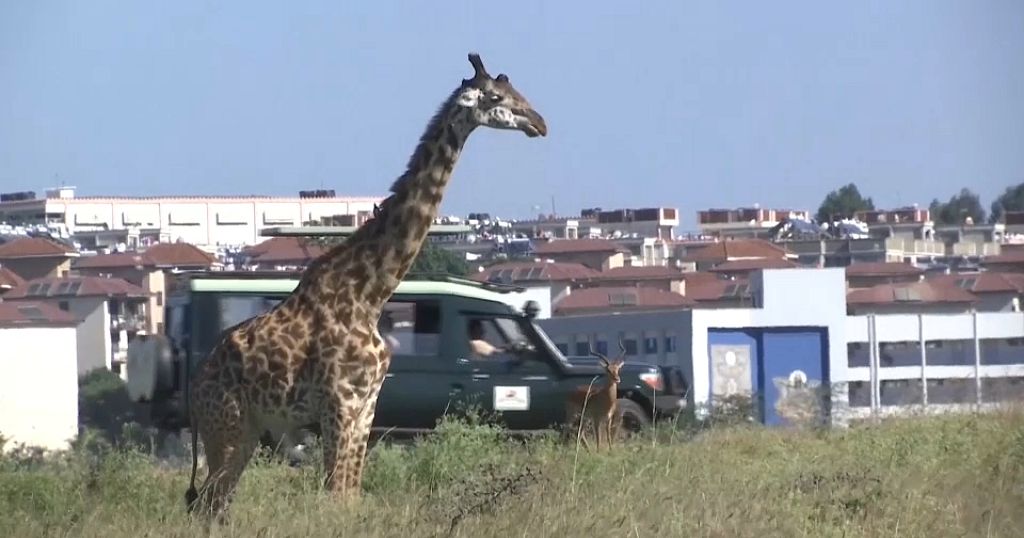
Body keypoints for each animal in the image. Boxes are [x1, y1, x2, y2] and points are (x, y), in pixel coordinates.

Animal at [187, 51, 548, 520]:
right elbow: (335, 496)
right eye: (496, 97)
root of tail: (194, 386)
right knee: (206, 504)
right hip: (226, 428)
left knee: (213, 504)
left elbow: (351, 495)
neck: (370, 293)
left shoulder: (366, 408)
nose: (540, 122)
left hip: (247, 431)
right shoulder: (338, 404)